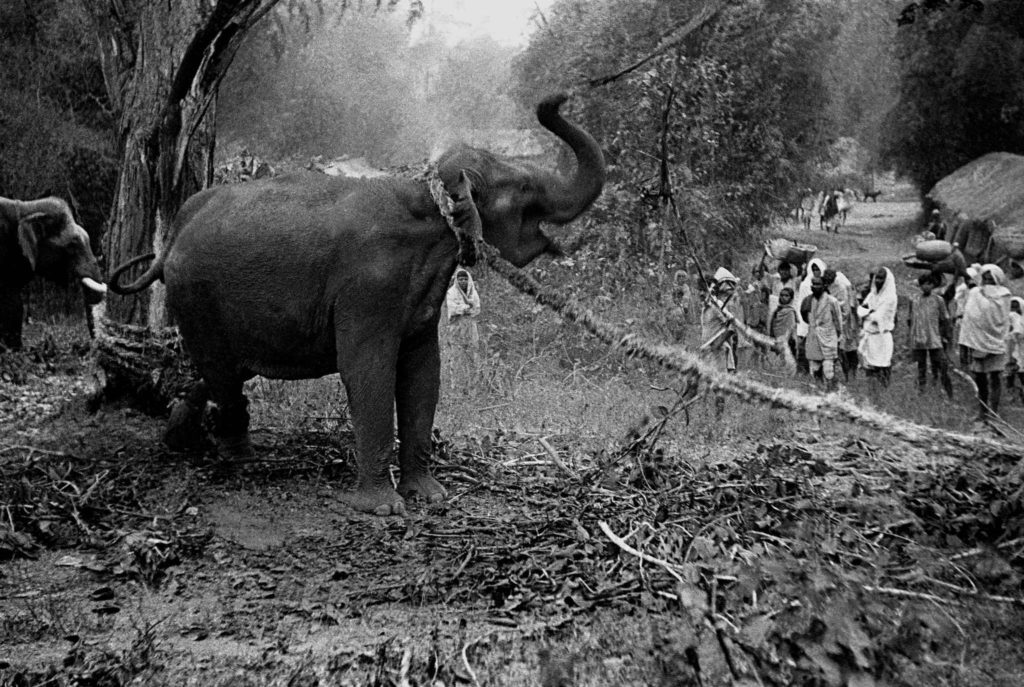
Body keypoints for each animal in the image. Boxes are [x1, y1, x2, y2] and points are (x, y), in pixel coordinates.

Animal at [109, 93, 606, 516]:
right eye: (522, 188)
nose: (556, 98)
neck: (424, 196)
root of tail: (174, 232)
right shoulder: (368, 286)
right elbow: (368, 370)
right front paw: (383, 510)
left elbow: (424, 372)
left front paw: (431, 496)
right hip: (196, 297)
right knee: (222, 372)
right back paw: (240, 459)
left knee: (221, 371)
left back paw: (182, 440)